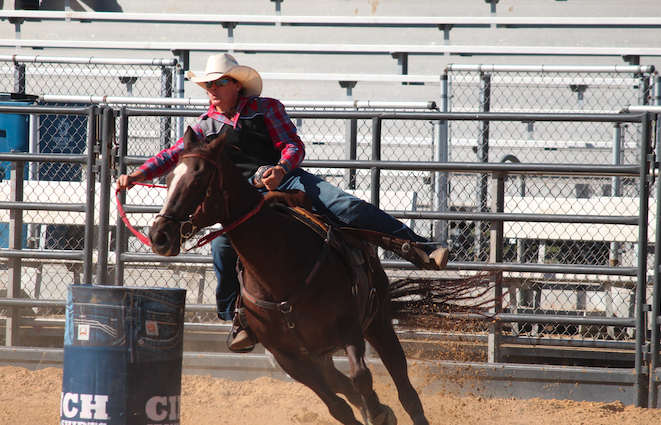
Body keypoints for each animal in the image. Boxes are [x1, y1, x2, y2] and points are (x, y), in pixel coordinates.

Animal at [149, 128, 428, 424]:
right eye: (169, 178)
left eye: (198, 179)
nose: (159, 235)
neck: (280, 267)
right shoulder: (286, 356)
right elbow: (337, 406)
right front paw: (373, 411)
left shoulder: (348, 326)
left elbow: (361, 377)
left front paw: (377, 412)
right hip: (320, 353)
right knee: (339, 381)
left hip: (378, 321)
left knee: (404, 386)